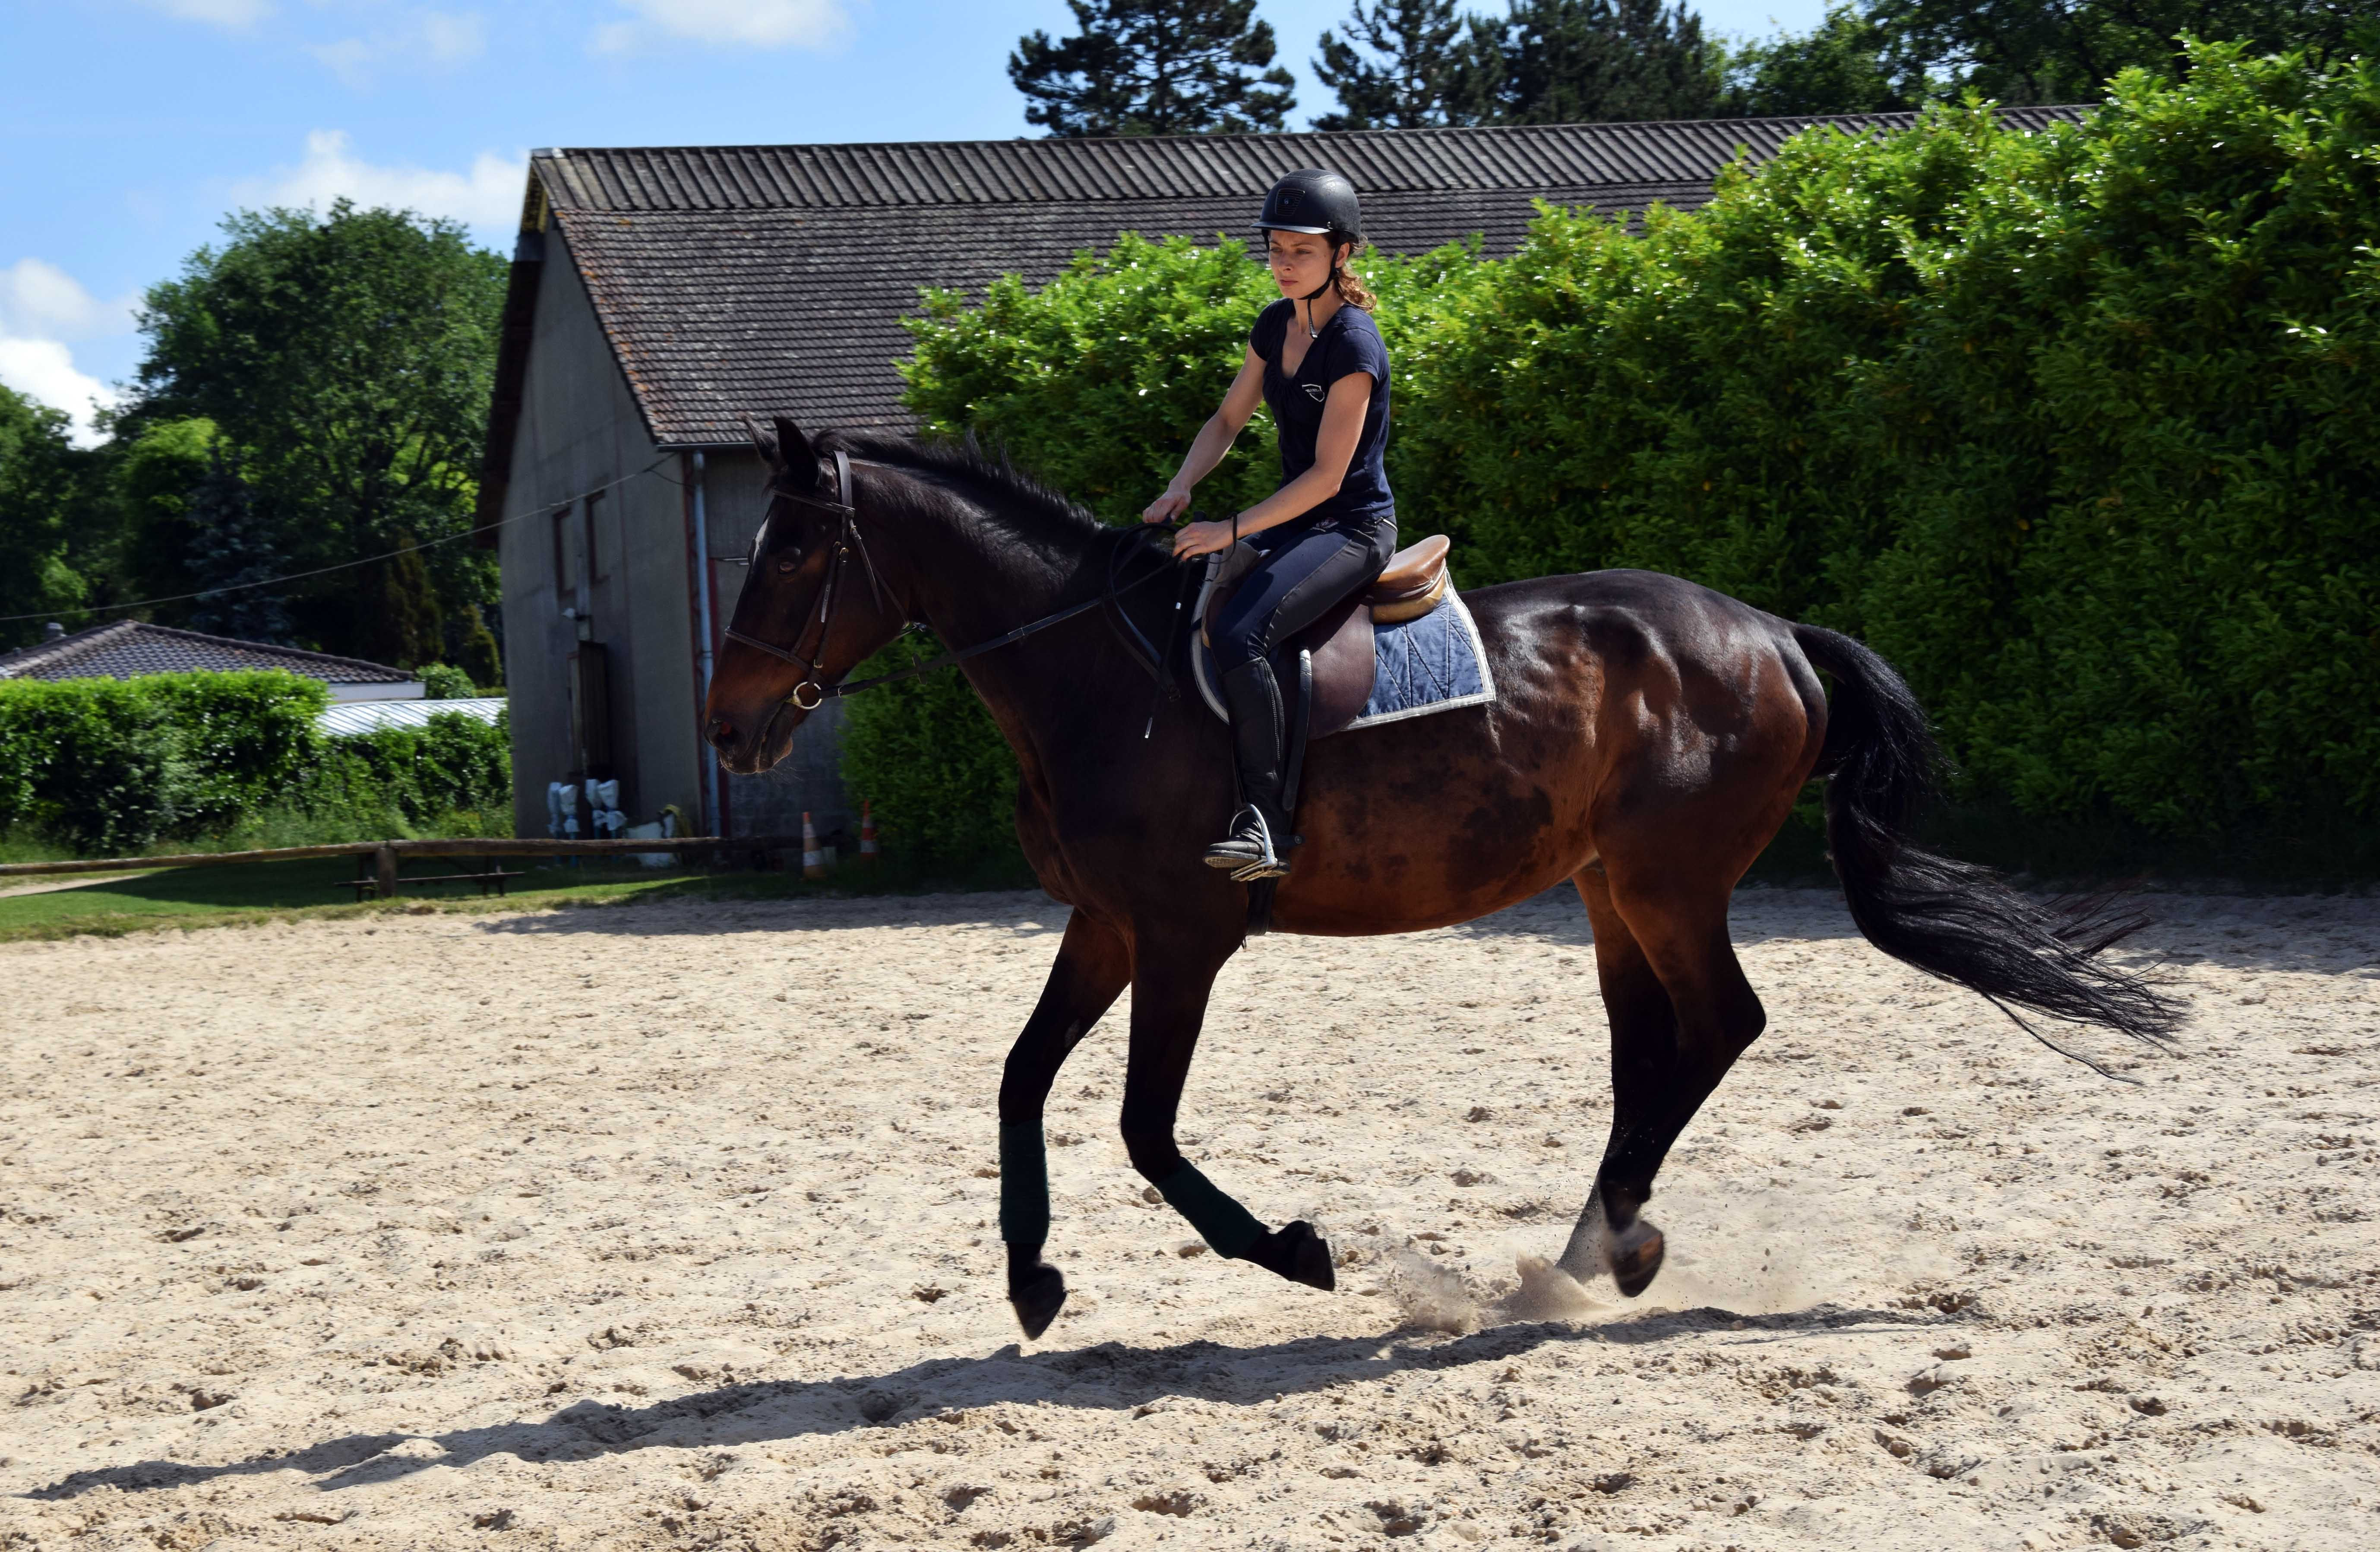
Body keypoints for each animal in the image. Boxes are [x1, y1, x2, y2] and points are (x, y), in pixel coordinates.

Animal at [704, 418, 2179, 1338]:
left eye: (793, 553)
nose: (727, 731)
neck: (1099, 676)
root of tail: (1771, 633)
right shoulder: (1109, 925)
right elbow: (1020, 1079)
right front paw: (1029, 1277)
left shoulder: (1183, 934)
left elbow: (1143, 1128)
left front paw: (1296, 1252)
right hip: (1607, 889)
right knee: (1650, 1052)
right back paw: (1592, 1252)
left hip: (1667, 879)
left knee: (1718, 1026)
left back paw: (1603, 1254)